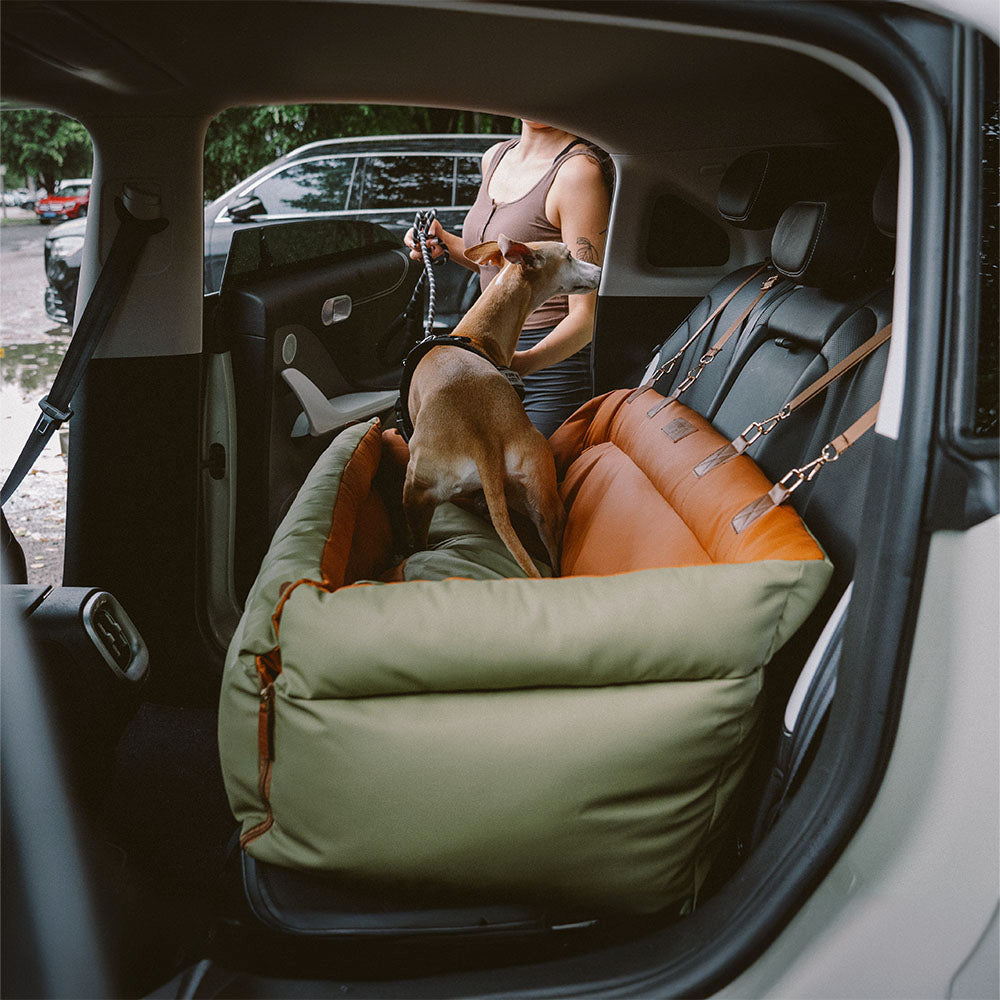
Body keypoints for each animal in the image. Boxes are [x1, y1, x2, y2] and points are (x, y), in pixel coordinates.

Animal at [398, 236, 600, 580]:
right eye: (570, 256)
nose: (601, 271)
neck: (476, 336)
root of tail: (483, 440)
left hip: (416, 492)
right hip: (539, 497)